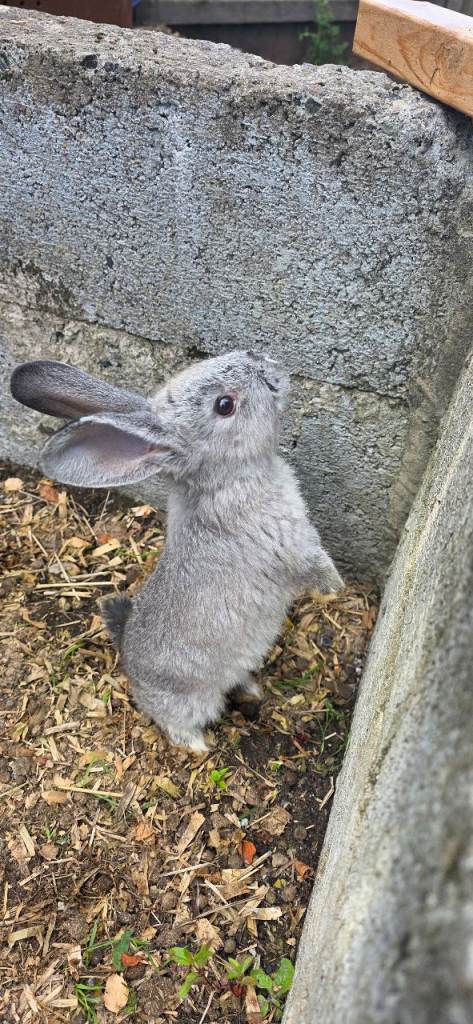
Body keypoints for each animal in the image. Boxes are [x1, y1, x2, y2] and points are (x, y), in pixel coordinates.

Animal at [10, 351, 343, 752]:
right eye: (224, 405)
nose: (260, 359)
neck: (224, 480)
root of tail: (131, 667)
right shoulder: (293, 545)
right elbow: (317, 569)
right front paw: (337, 588)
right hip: (191, 701)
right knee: (176, 724)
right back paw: (201, 746)